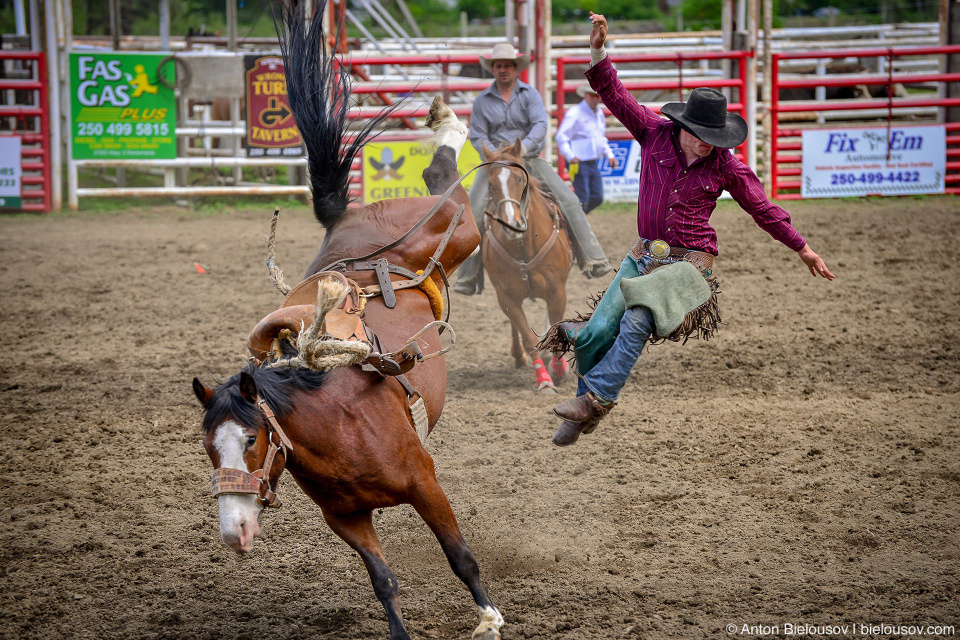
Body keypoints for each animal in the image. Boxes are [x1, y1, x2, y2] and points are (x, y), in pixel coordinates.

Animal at [189, 2, 502, 636]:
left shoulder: (426, 482)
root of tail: (348, 215)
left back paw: (448, 120)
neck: (339, 426)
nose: (235, 535)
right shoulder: (347, 519)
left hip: (458, 226)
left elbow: (459, 555)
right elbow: (383, 582)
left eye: (253, 438)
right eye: (209, 448)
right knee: (437, 177)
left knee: (445, 182)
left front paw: (489, 617)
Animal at [484, 142, 572, 392]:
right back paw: (518, 356)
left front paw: (559, 370)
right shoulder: (506, 297)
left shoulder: (558, 291)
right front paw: (544, 380)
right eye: (491, 184)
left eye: (520, 179)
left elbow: (555, 328)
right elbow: (527, 338)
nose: (510, 225)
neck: (524, 247)